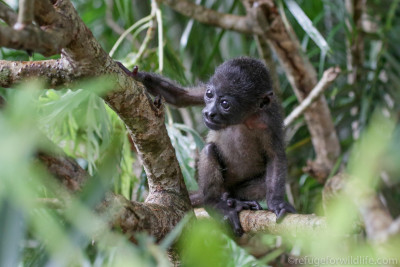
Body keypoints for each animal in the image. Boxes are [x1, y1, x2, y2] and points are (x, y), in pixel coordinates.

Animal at [117, 57, 296, 236]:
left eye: (225, 104)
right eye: (209, 95)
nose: (209, 113)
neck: (243, 118)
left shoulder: (269, 122)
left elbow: (275, 156)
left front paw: (277, 203)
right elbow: (180, 97)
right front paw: (135, 75)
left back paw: (232, 200)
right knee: (209, 150)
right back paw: (215, 204)